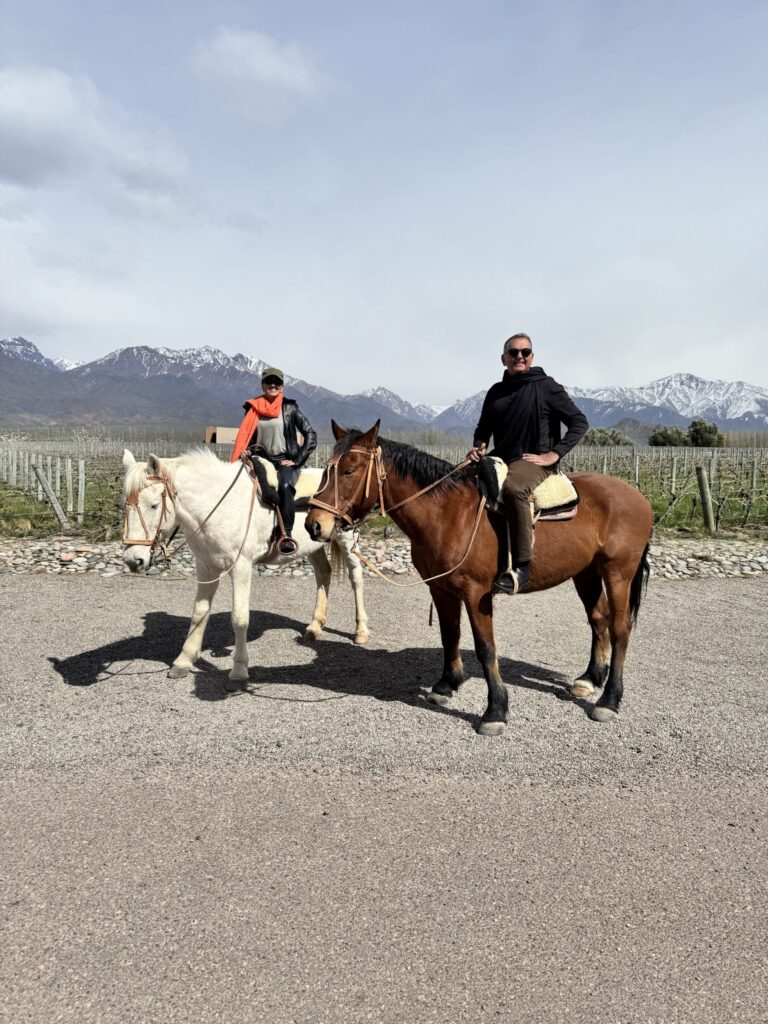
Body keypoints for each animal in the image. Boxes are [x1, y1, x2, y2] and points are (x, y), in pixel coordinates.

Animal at [122, 446, 370, 679]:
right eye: (125, 504)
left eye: (154, 505)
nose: (133, 560)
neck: (218, 504)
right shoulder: (206, 567)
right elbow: (199, 613)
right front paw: (183, 661)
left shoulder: (240, 567)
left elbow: (239, 617)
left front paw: (239, 668)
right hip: (314, 545)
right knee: (323, 573)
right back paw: (315, 627)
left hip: (347, 540)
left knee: (356, 577)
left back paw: (360, 631)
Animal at [307, 421, 655, 737]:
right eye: (326, 470)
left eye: (349, 471)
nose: (314, 525)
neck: (446, 513)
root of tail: (637, 496)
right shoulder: (441, 588)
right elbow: (450, 635)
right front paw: (446, 685)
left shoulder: (477, 594)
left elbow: (486, 648)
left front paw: (495, 711)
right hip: (586, 573)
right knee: (599, 619)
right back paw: (589, 680)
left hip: (618, 572)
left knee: (620, 627)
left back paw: (609, 700)